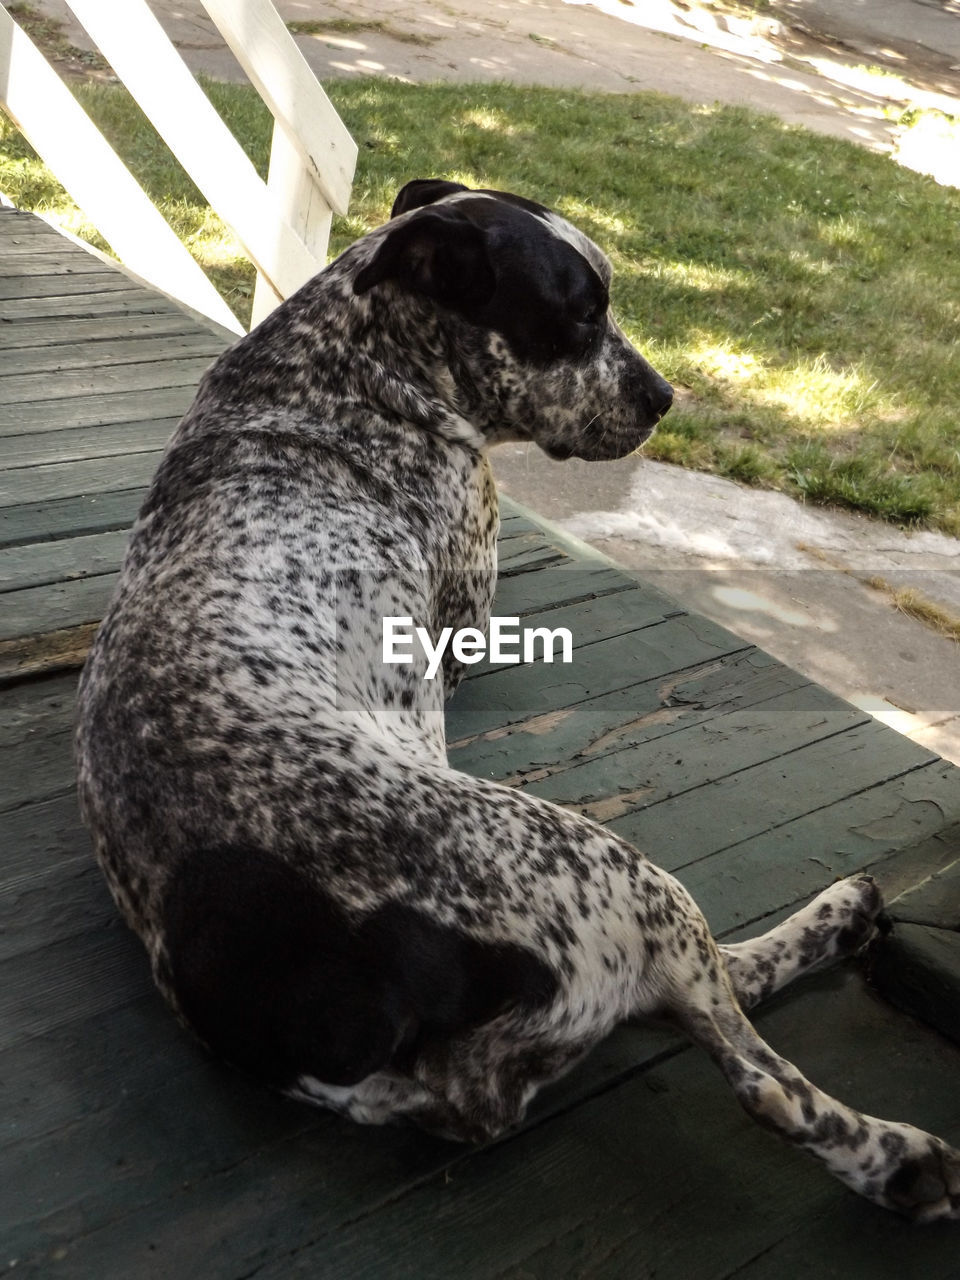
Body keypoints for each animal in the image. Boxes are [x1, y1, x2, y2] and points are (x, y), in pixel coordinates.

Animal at [75, 177, 960, 1218]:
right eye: (580, 316)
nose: (664, 397)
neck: (347, 376)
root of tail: (338, 996)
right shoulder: (468, 583)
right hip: (615, 873)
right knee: (756, 1068)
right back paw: (895, 1145)